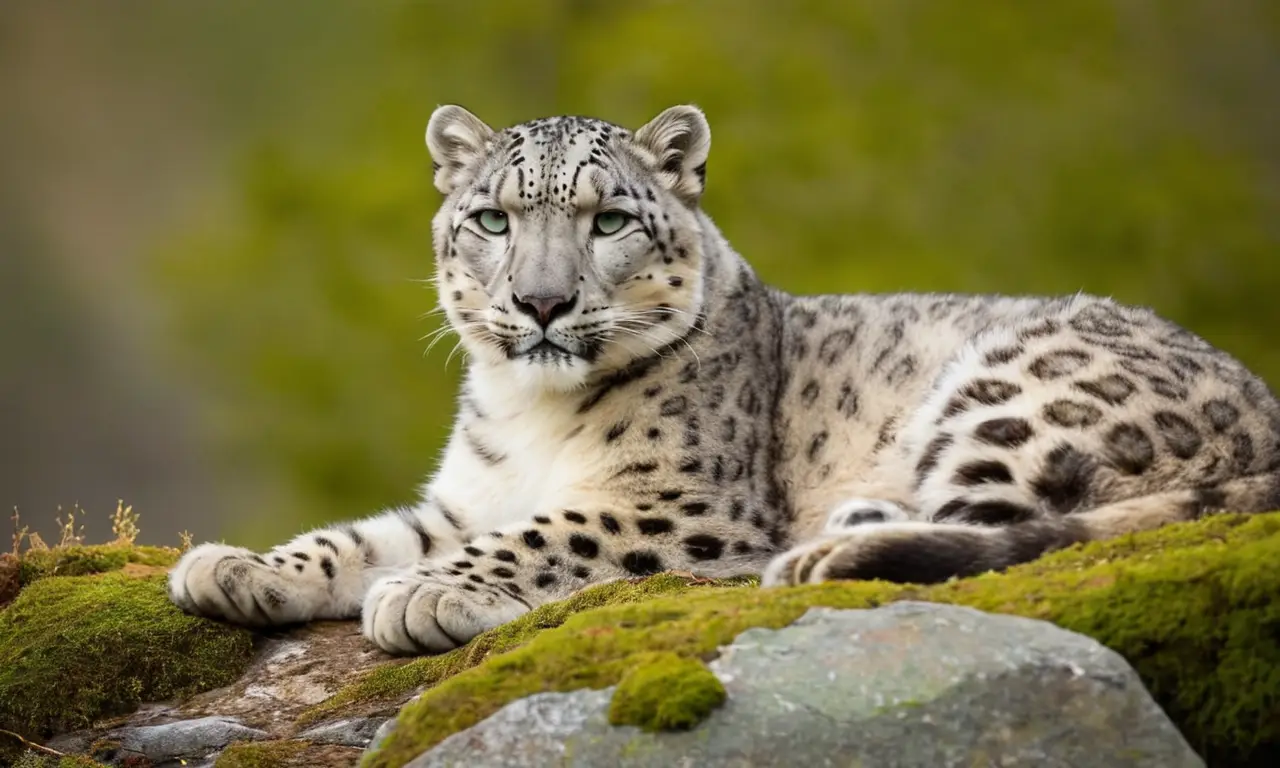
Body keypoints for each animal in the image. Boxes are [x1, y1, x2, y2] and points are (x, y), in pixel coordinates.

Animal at [169, 104, 1280, 655]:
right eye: (491, 218)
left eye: (608, 219)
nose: (540, 303)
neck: (528, 414)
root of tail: (1265, 399)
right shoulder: (460, 498)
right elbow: (362, 537)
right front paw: (238, 567)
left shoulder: (678, 506)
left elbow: (541, 537)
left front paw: (426, 593)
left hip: (1014, 395)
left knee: (1004, 533)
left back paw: (822, 554)